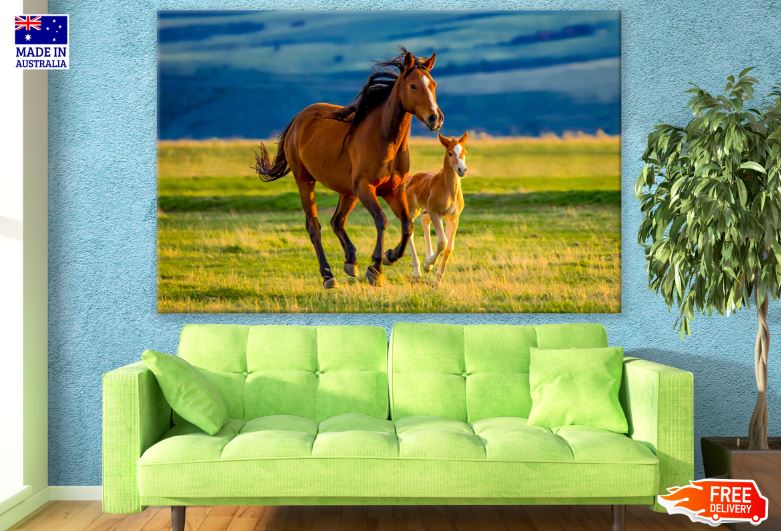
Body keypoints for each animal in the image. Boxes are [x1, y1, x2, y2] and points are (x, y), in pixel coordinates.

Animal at [254, 49, 444, 288]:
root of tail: (298, 120)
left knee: (337, 221)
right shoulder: (366, 188)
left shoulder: (393, 190)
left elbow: (407, 225)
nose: (435, 118)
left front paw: (389, 256)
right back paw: (328, 275)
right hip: (305, 181)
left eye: (433, 84)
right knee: (314, 226)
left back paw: (350, 261)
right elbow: (381, 220)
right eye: (413, 86)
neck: (385, 139)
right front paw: (375, 268)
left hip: (347, 192)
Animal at [405, 132, 468, 286]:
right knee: (410, 232)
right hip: (413, 210)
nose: (462, 170)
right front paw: (428, 264)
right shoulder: (436, 213)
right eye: (450, 153)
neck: (449, 189)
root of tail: (411, 179)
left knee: (424, 221)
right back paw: (417, 271)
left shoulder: (453, 218)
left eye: (465, 152)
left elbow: (449, 247)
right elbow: (442, 242)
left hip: (426, 211)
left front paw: (437, 280)